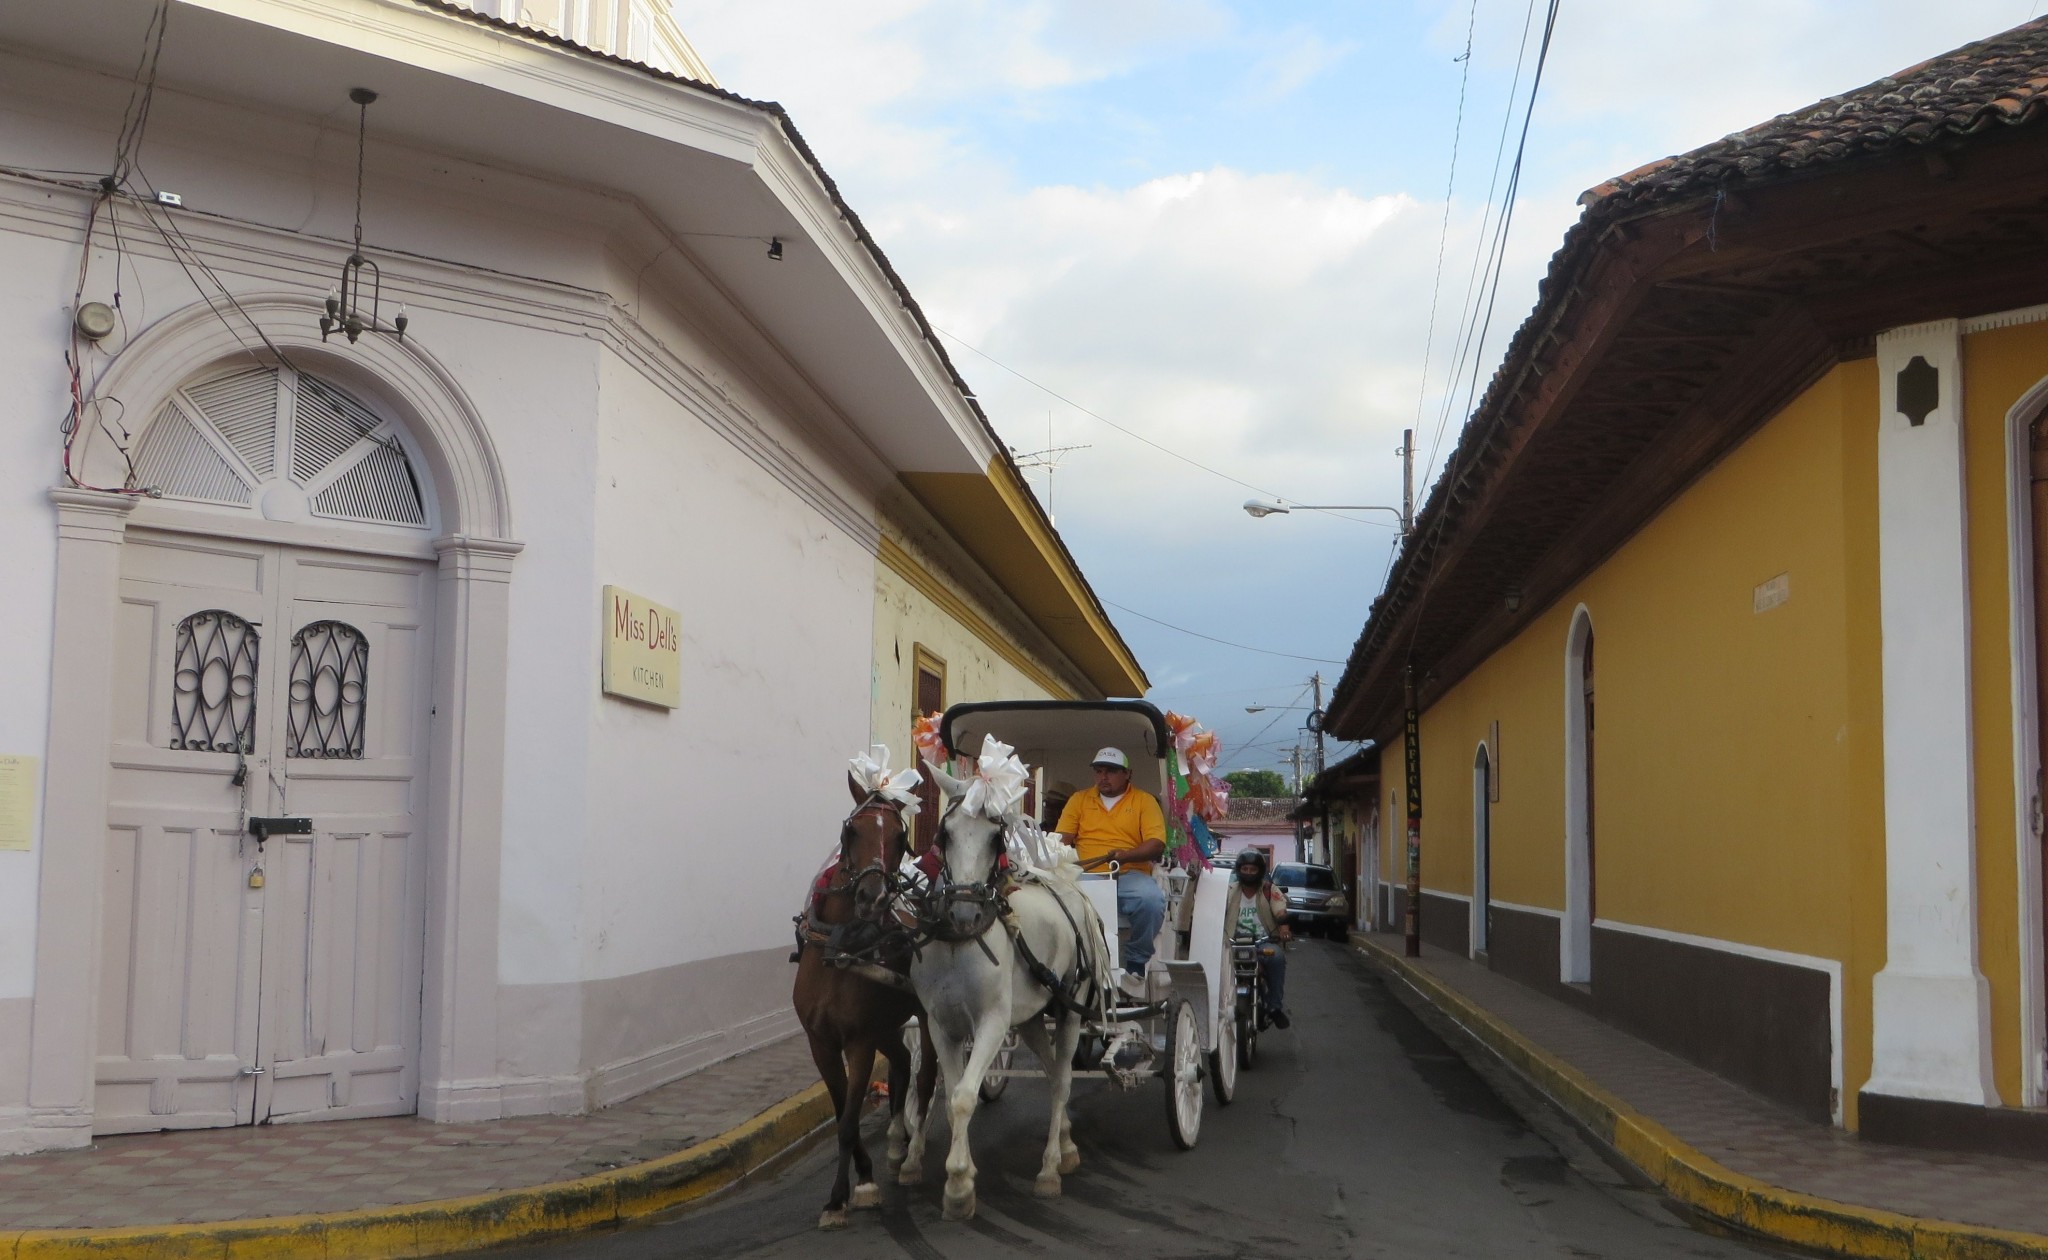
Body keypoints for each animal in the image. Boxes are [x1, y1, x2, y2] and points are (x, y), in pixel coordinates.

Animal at [790, 778, 937, 1229]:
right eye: (852, 831)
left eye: (900, 838)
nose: (873, 896)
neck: (841, 945)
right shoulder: (820, 1042)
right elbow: (843, 1114)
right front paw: (865, 1176)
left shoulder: (858, 1042)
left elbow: (849, 1122)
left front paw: (842, 1197)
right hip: (886, 1026)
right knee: (903, 1064)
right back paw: (896, 1143)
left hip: (926, 1019)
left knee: (925, 1078)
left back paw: (913, 1156)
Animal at [905, 770, 1114, 1221]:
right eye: (945, 834)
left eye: (995, 839)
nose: (964, 913)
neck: (959, 942)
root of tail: (1065, 885)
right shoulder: (941, 1026)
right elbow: (950, 1098)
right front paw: (960, 1176)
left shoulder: (992, 1023)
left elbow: (964, 1098)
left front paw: (959, 1185)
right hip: (1032, 1017)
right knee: (1053, 1072)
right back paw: (1066, 1142)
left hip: (1069, 1009)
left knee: (1063, 1080)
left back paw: (1050, 1168)